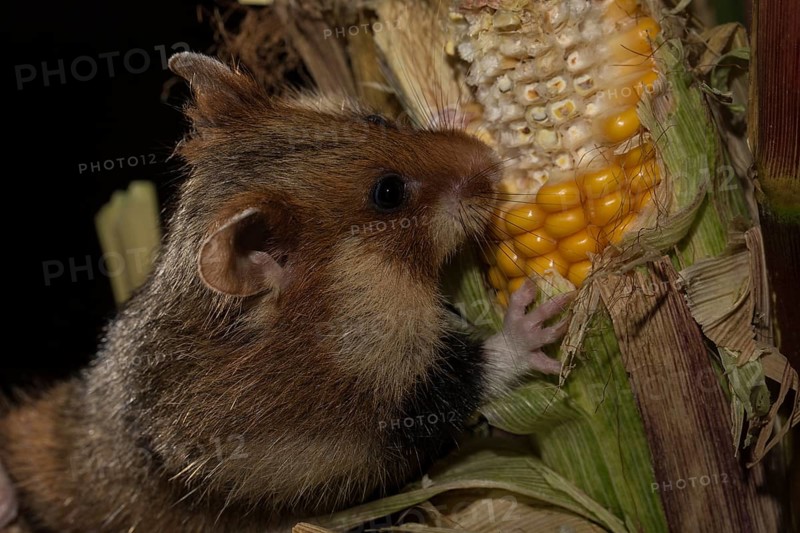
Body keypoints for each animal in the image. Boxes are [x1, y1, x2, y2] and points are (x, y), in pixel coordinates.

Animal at [0, 52, 572, 532]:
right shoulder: (383, 407)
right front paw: (534, 320)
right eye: (388, 193)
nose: (492, 162)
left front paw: (460, 110)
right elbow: (473, 374)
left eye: (378, 122)